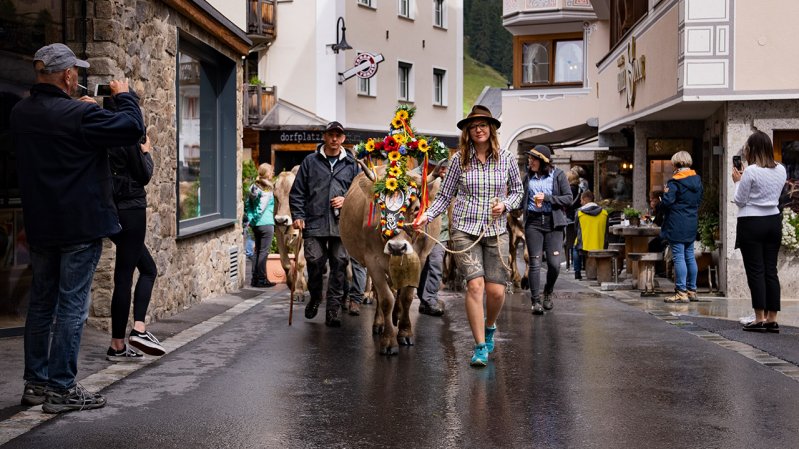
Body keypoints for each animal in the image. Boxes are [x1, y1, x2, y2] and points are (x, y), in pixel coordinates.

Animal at [270, 168, 304, 298]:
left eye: (292, 195)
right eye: (275, 196)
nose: (281, 220)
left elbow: (300, 263)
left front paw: (299, 291)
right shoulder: (279, 233)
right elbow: (285, 263)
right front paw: (291, 284)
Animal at [340, 166, 444, 356]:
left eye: (416, 208)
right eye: (381, 208)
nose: (397, 247)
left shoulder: (420, 258)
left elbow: (407, 297)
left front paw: (405, 332)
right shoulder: (372, 260)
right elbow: (386, 298)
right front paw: (388, 341)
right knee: (381, 292)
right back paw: (379, 323)